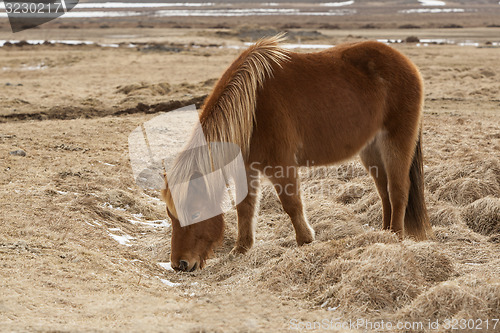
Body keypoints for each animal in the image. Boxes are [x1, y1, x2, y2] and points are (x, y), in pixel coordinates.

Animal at [162, 35, 432, 272]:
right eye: (172, 217)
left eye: (195, 213)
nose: (180, 265)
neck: (252, 108)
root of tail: (407, 63)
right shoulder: (247, 168)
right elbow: (245, 206)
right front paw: (241, 248)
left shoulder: (281, 165)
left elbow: (291, 204)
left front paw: (305, 240)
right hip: (371, 150)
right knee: (384, 190)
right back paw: (384, 234)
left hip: (396, 143)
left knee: (398, 190)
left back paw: (396, 236)